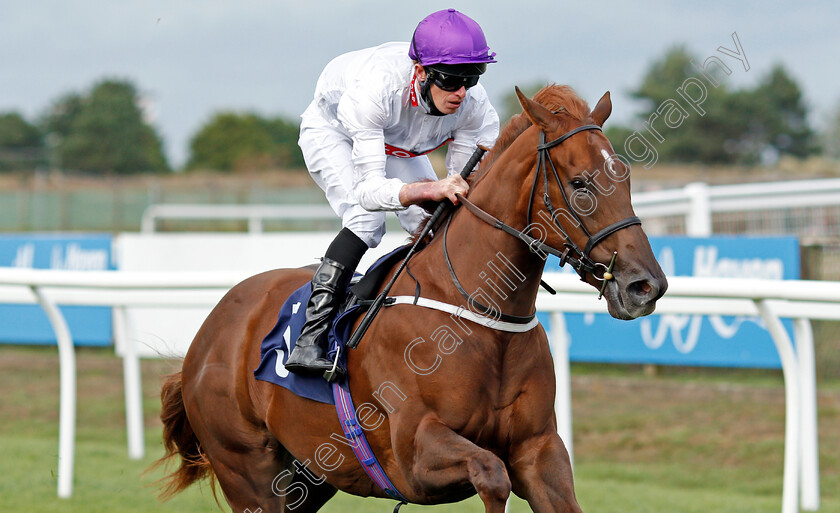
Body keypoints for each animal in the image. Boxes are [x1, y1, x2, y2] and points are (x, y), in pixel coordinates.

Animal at [161, 85, 668, 512]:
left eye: (624, 176)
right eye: (581, 183)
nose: (646, 285)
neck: (480, 314)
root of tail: (208, 331)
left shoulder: (538, 448)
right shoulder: (414, 454)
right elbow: (492, 474)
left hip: (309, 475)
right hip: (248, 471)